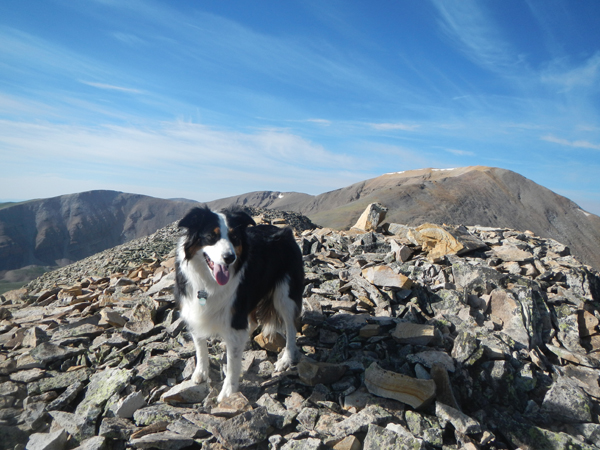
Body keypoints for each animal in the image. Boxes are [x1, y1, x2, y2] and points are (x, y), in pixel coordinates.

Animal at [173, 205, 304, 400]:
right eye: (211, 236)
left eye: (234, 238)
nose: (230, 257)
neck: (207, 282)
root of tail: (286, 231)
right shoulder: (193, 310)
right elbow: (200, 345)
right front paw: (200, 373)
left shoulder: (235, 313)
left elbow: (233, 362)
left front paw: (228, 393)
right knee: (253, 322)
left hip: (284, 294)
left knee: (291, 325)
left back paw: (286, 359)